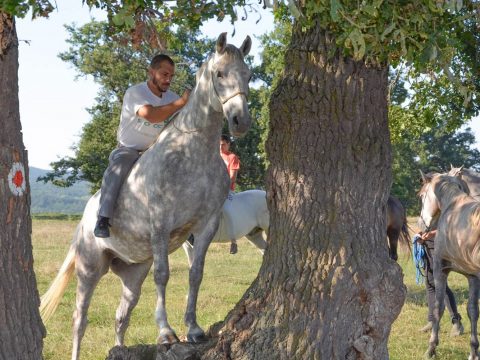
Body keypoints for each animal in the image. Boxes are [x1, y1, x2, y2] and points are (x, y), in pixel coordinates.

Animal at [39, 32, 253, 358]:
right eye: (219, 74)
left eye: (248, 75)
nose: (241, 121)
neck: (193, 153)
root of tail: (84, 220)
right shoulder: (161, 225)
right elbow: (163, 275)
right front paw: (166, 333)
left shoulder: (206, 225)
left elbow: (196, 274)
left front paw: (193, 329)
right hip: (89, 270)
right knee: (80, 319)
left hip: (132, 275)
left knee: (121, 316)